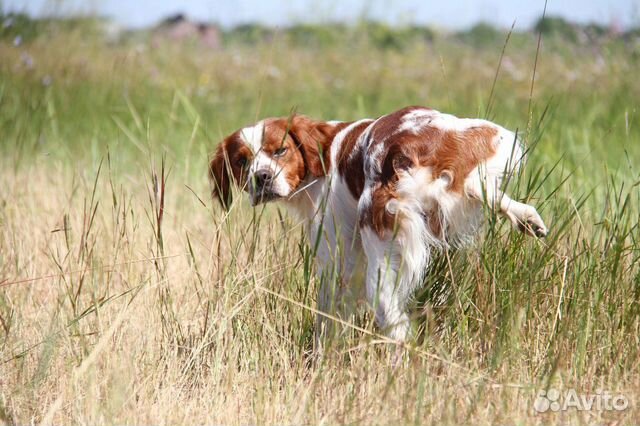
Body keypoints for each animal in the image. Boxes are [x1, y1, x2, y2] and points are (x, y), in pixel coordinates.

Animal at [208, 107, 548, 342]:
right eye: (241, 161)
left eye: (280, 150)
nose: (261, 177)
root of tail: (406, 146)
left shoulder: (336, 250)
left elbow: (327, 311)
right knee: (480, 186)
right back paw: (527, 218)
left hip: (380, 251)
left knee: (393, 318)